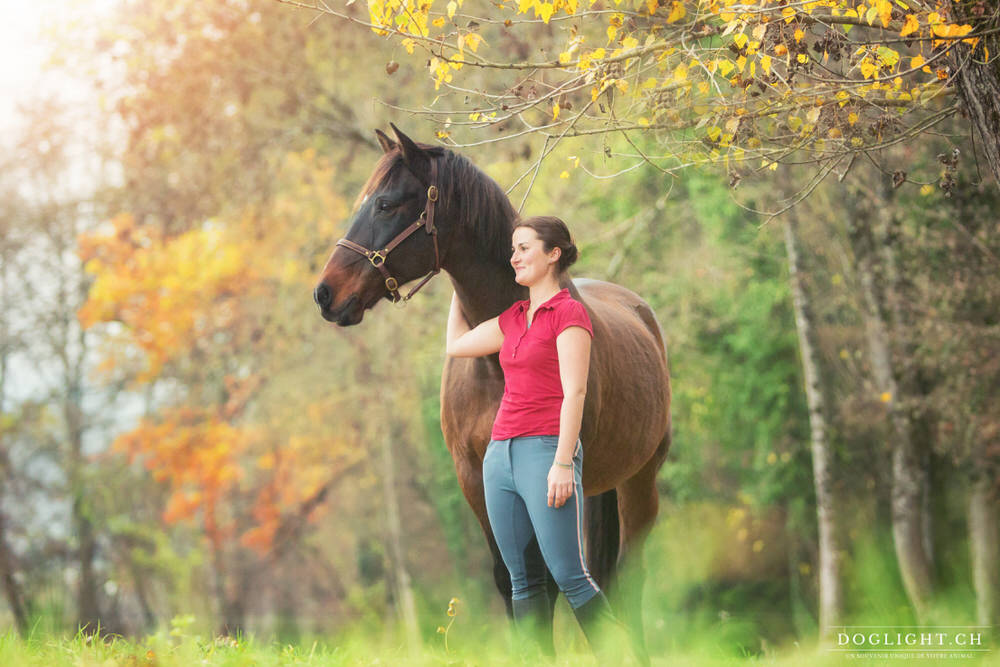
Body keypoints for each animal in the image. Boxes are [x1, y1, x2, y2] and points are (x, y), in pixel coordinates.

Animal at [312, 125, 672, 664]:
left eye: (386, 203)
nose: (325, 294)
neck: (493, 363)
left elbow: (549, 582)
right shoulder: (475, 480)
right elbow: (514, 581)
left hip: (638, 481)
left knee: (629, 576)